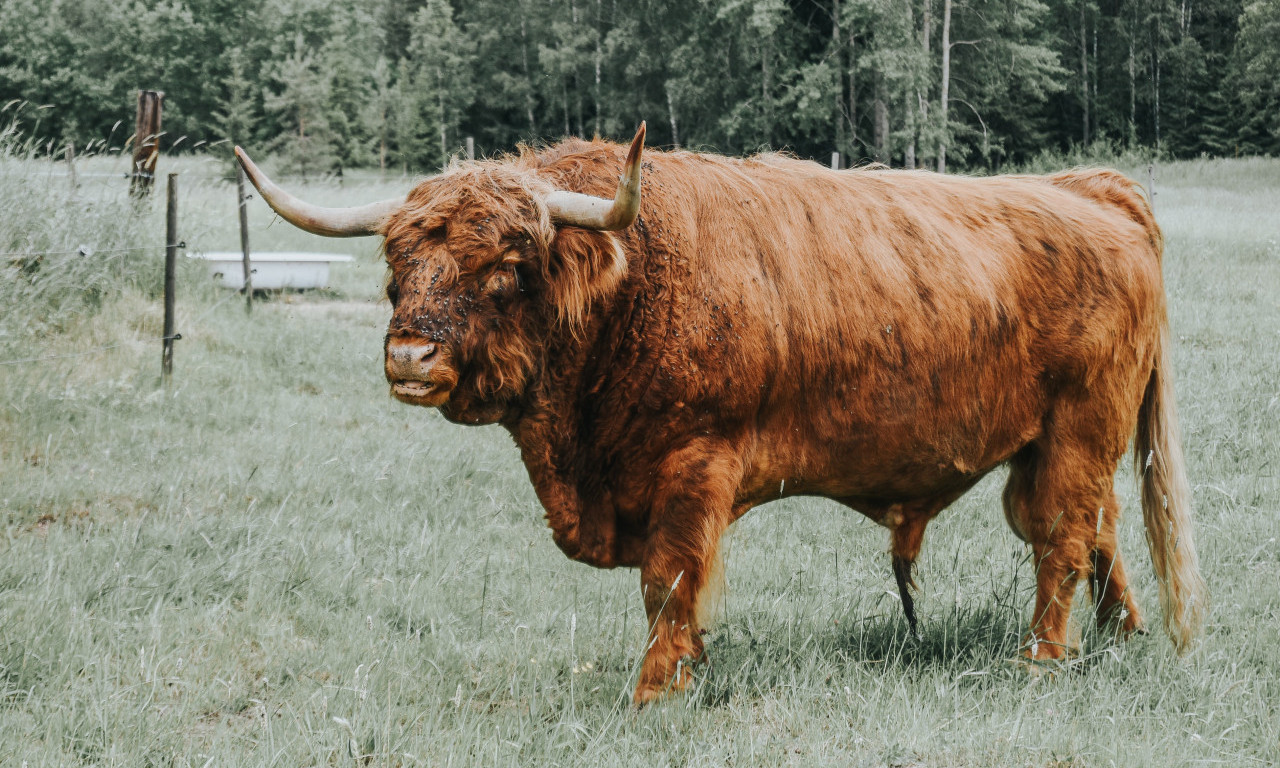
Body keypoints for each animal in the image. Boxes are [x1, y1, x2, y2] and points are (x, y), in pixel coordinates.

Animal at [235, 124, 1203, 701]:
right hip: (1049, 444)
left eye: (505, 268)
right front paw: (687, 669)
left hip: (1079, 427)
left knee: (1063, 539)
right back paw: (1122, 634)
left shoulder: (692, 466)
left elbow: (668, 582)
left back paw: (1043, 659)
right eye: (397, 265)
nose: (409, 358)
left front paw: (657, 688)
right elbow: (665, 590)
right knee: (1097, 527)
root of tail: (1090, 190)